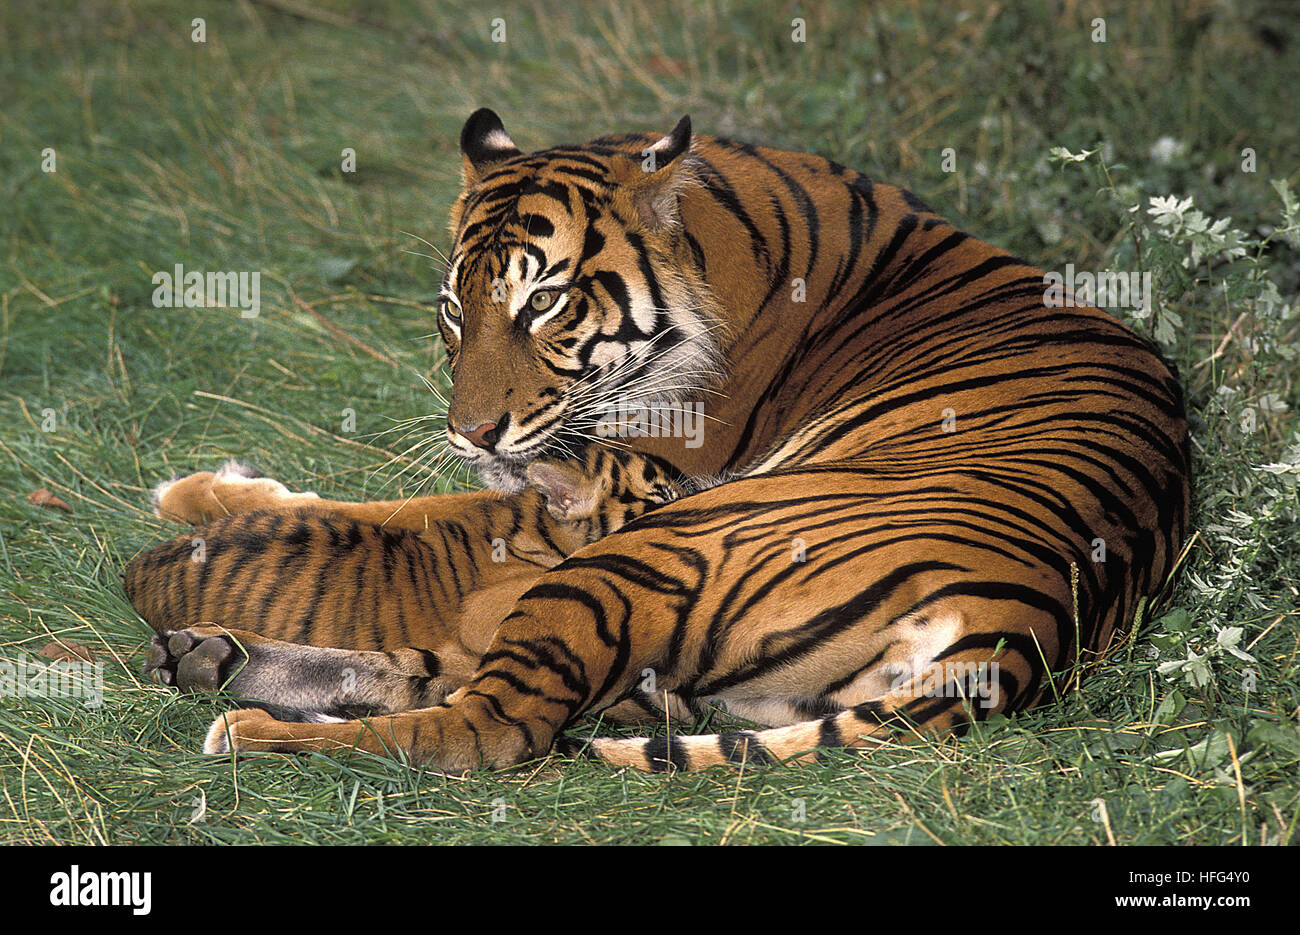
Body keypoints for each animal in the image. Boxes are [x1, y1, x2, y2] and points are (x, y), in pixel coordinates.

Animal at [129, 109, 1190, 769]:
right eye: (453, 310)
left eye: (542, 302)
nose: (470, 430)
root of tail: (1019, 631)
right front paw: (207, 495)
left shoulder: (626, 471)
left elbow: (419, 506)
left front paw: (195, 498)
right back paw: (216, 659)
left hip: (643, 559)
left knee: (485, 722)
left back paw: (251, 724)